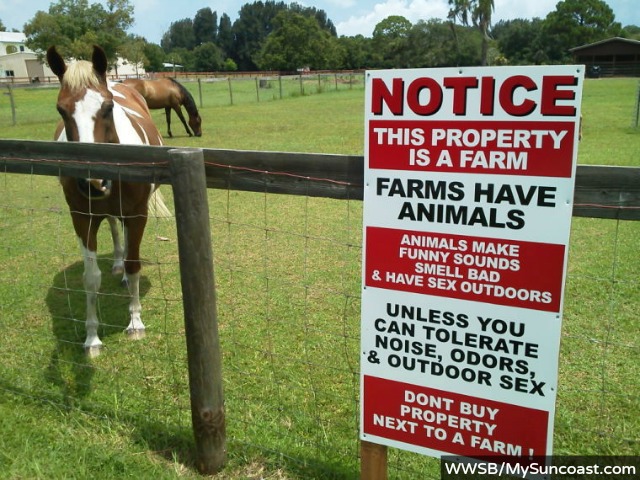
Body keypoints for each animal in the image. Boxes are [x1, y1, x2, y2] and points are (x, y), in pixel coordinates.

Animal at [47, 44, 168, 356]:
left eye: (108, 107)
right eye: (61, 110)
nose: (93, 181)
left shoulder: (137, 214)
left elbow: (135, 265)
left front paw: (135, 322)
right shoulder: (82, 218)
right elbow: (91, 278)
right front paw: (92, 338)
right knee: (114, 228)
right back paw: (116, 263)